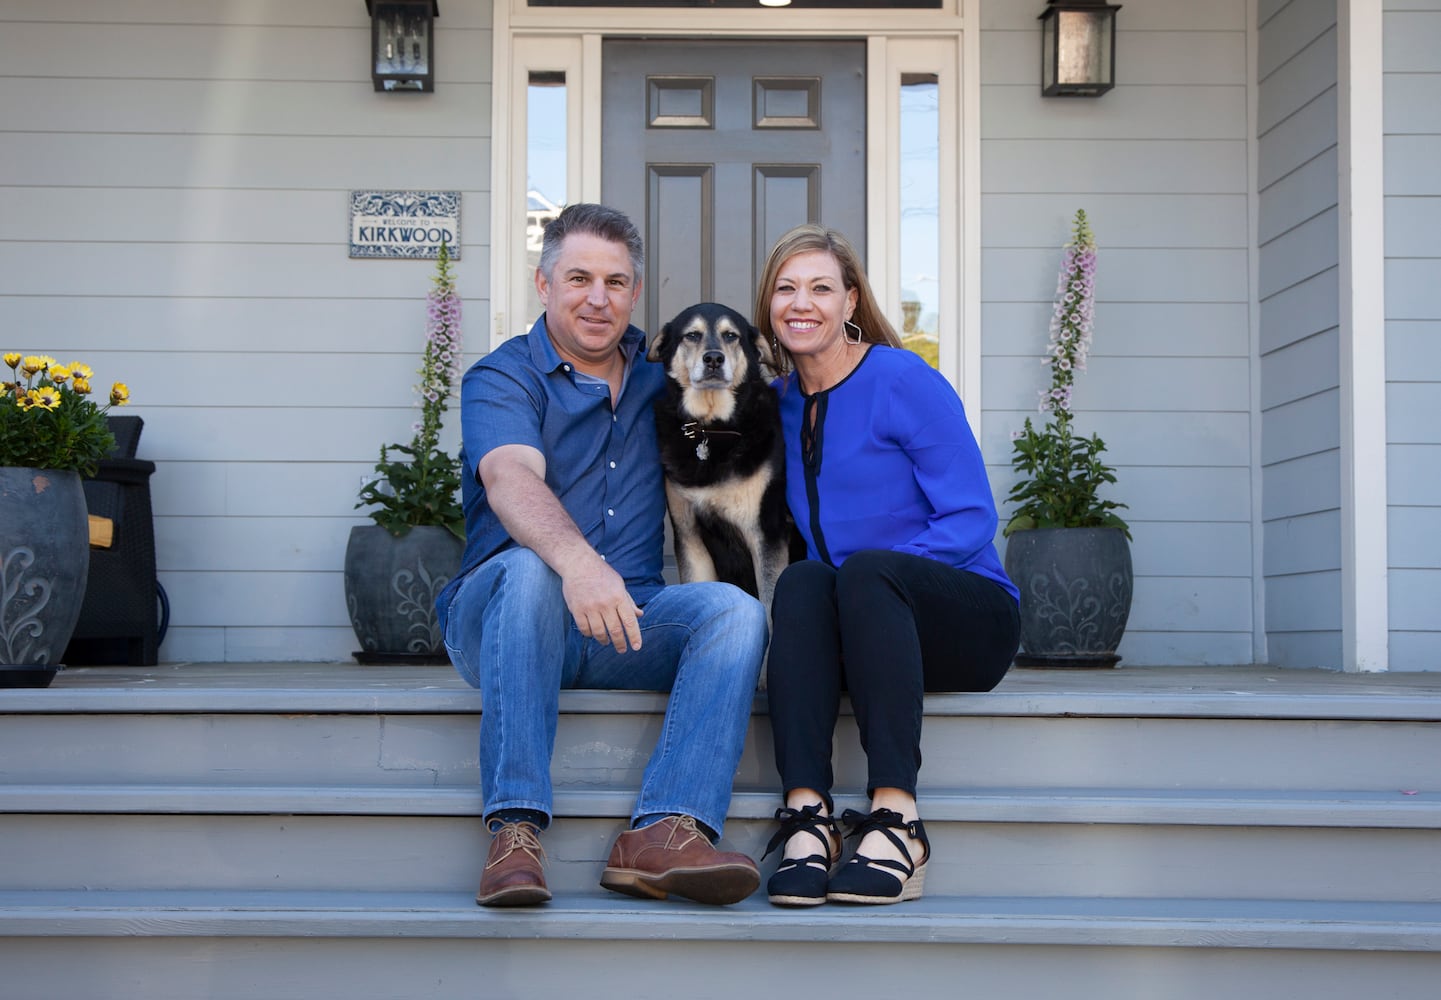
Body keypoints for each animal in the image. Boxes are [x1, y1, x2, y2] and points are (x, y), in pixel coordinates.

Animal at [648, 301, 795, 613]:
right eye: (692, 335)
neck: (713, 428)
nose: (714, 359)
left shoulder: (767, 535)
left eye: (731, 336)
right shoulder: (689, 537)